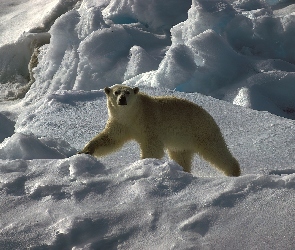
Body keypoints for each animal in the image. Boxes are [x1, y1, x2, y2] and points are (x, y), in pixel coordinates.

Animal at [80, 85, 242, 177]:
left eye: (128, 92)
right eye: (116, 92)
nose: (122, 99)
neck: (134, 115)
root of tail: (209, 116)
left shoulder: (149, 122)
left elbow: (152, 147)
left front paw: (143, 164)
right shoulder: (120, 123)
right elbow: (110, 138)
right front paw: (85, 151)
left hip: (200, 131)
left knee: (216, 151)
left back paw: (234, 172)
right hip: (182, 141)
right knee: (181, 156)